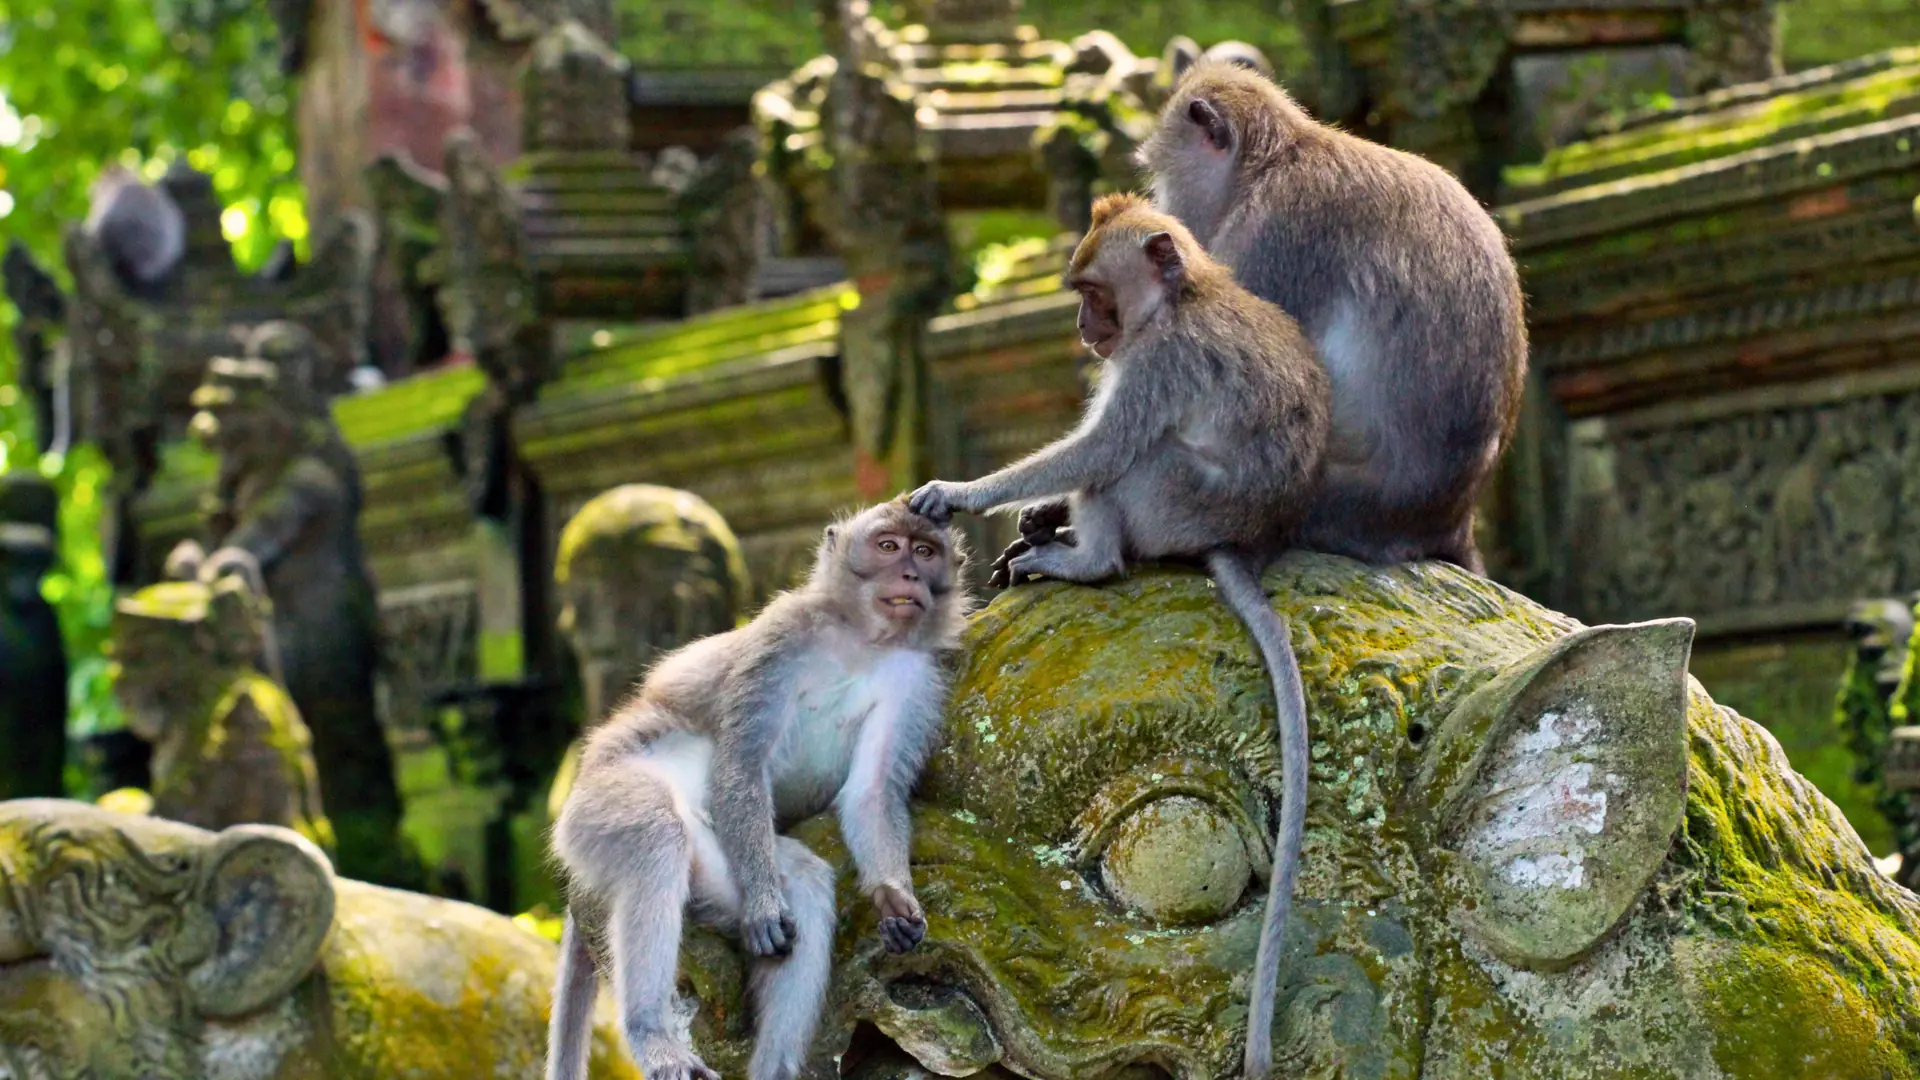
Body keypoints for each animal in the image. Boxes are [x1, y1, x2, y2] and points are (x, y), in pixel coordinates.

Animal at [545, 499, 971, 1080]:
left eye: (925, 551)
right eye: (888, 546)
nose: (910, 575)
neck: (862, 640)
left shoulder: (918, 679)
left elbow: (872, 793)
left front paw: (893, 896)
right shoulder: (782, 637)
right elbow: (742, 762)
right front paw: (768, 907)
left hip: (719, 860)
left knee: (806, 885)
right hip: (599, 804)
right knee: (656, 835)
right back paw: (652, 1034)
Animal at [906, 193, 1328, 1080]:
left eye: (1094, 290)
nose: (1081, 325)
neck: (1181, 300)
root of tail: (1244, 540)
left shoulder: (1157, 363)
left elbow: (1100, 447)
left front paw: (963, 493)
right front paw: (1033, 512)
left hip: (1175, 502)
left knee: (1129, 461)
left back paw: (1087, 559)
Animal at [1137, 60, 1528, 576]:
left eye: (1162, 174)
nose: (1167, 212)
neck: (1272, 163)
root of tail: (1451, 520)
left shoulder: (1273, 234)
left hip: (1330, 503)